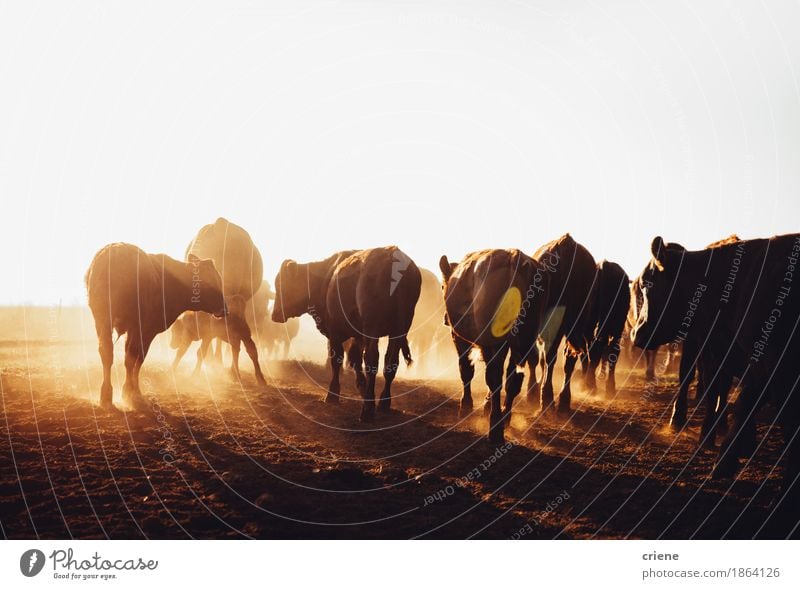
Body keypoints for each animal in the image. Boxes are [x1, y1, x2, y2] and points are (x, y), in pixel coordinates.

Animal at [86, 241, 225, 406]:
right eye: (212, 282)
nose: (225, 308)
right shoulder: (146, 330)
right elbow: (138, 358)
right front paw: (132, 391)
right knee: (129, 356)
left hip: (102, 320)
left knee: (106, 351)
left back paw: (106, 395)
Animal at [272, 246, 422, 420]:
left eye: (281, 284)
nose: (274, 314)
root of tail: (393, 255)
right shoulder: (358, 336)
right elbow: (355, 359)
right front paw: (361, 386)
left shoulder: (335, 332)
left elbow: (337, 360)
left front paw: (333, 394)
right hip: (399, 331)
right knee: (390, 363)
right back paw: (383, 402)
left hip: (372, 328)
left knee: (372, 360)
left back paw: (367, 410)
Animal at [440, 248, 548, 440]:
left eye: (442, 286)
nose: (445, 319)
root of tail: (515, 259)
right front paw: (486, 404)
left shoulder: (460, 339)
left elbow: (466, 370)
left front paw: (466, 405)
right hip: (524, 342)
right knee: (513, 381)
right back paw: (505, 418)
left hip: (497, 342)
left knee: (495, 377)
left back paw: (495, 427)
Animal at [528, 232, 596, 412]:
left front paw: (534, 391)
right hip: (578, 323)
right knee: (569, 358)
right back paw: (564, 399)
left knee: (550, 356)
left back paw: (547, 398)